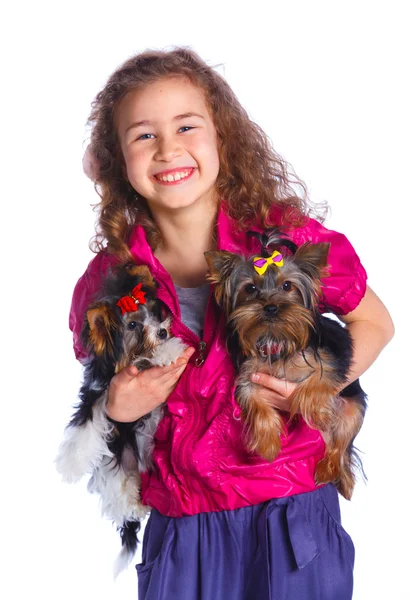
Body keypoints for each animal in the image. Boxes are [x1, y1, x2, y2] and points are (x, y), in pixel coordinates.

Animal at [204, 232, 366, 500]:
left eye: (287, 286)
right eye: (251, 288)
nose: (270, 307)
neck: (276, 336)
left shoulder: (331, 359)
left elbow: (316, 384)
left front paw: (318, 411)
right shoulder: (249, 377)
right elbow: (257, 406)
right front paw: (269, 445)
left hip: (352, 411)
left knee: (341, 444)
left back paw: (330, 471)